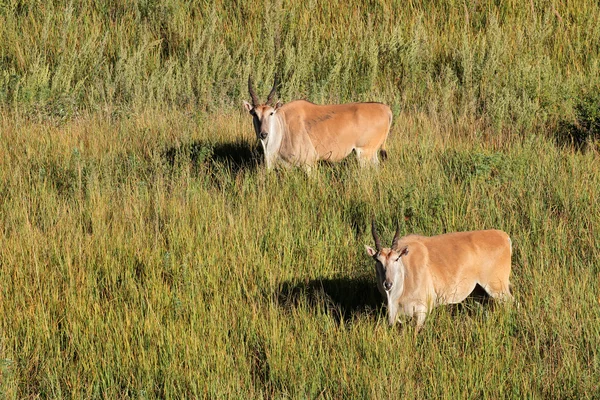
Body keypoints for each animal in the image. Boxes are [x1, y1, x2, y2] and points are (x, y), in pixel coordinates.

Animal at [241, 76, 392, 170]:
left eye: (271, 113)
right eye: (254, 113)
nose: (263, 134)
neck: (283, 126)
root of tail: (386, 109)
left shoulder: (309, 164)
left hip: (364, 153)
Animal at [364, 222, 512, 332]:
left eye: (396, 259)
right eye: (377, 260)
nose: (387, 284)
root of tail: (504, 236)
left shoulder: (422, 310)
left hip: (497, 287)